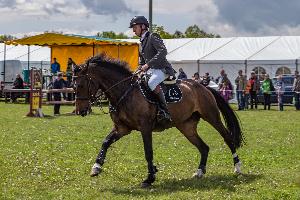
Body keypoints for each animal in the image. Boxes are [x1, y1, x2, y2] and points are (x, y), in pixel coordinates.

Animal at [74, 54, 244, 188]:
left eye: (81, 85)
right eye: (73, 86)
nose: (81, 111)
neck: (124, 92)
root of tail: (202, 86)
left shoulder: (145, 128)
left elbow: (148, 152)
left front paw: (150, 178)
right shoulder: (122, 128)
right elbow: (105, 142)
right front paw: (96, 167)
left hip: (212, 117)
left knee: (227, 138)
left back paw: (237, 168)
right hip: (186, 127)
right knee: (204, 147)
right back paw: (200, 172)